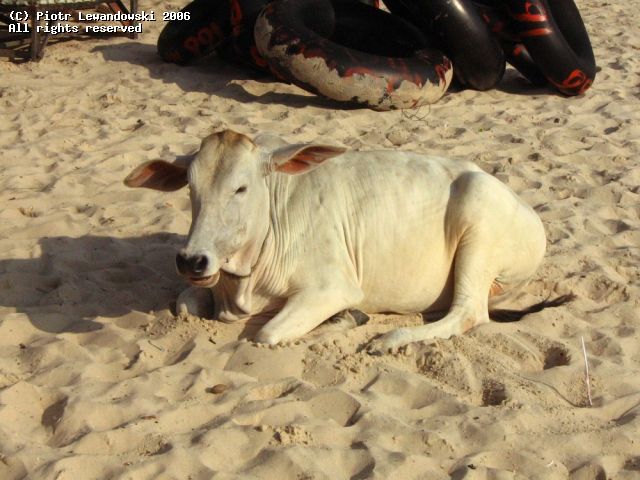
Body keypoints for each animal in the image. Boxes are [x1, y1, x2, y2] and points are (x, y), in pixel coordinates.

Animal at [124, 129, 570, 354]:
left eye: (241, 188)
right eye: (191, 188)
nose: (192, 260)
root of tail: (530, 212)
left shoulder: (332, 286)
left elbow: (266, 333)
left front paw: (345, 319)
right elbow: (184, 303)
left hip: (477, 221)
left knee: (469, 313)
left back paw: (390, 339)